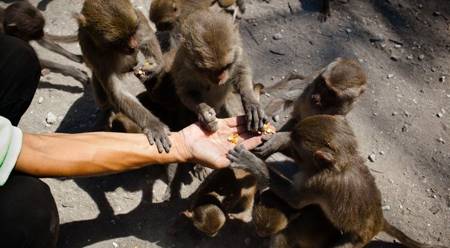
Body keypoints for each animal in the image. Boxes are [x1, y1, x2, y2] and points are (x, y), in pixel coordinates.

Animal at [74, 0, 171, 153]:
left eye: (132, 32)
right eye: (119, 40)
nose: (133, 45)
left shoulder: (137, 17)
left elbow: (147, 35)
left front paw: (155, 65)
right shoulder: (94, 51)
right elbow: (118, 92)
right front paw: (154, 125)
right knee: (103, 97)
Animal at [229, 116, 446, 248]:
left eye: (298, 151)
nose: (287, 137)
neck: (341, 163)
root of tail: (379, 219)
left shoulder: (319, 183)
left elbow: (294, 199)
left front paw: (253, 164)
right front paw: (278, 139)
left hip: (357, 238)